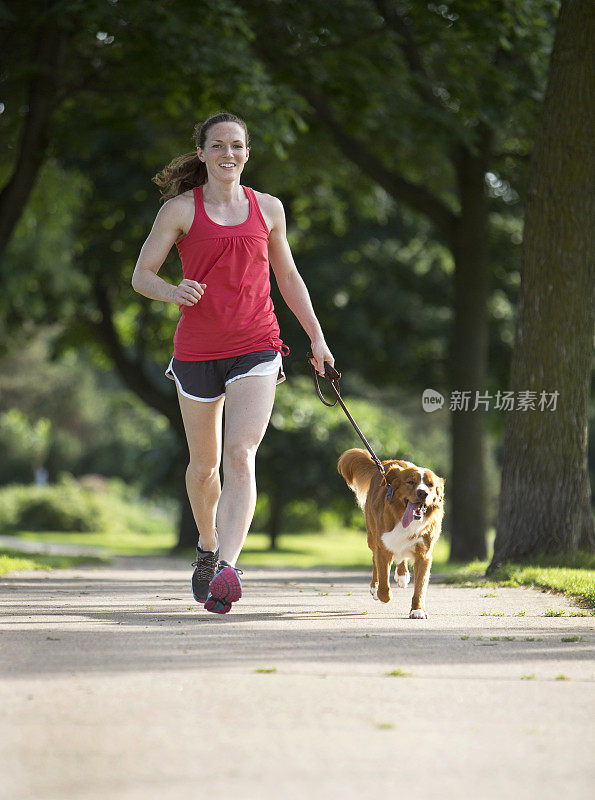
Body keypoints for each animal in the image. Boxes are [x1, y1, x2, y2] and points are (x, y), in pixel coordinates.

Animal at [338, 450, 444, 620]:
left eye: (430, 485)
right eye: (410, 482)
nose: (423, 493)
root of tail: (385, 463)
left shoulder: (424, 553)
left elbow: (420, 587)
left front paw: (418, 609)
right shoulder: (383, 547)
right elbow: (383, 583)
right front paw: (380, 593)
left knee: (401, 557)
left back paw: (402, 575)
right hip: (372, 536)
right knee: (374, 560)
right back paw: (374, 587)